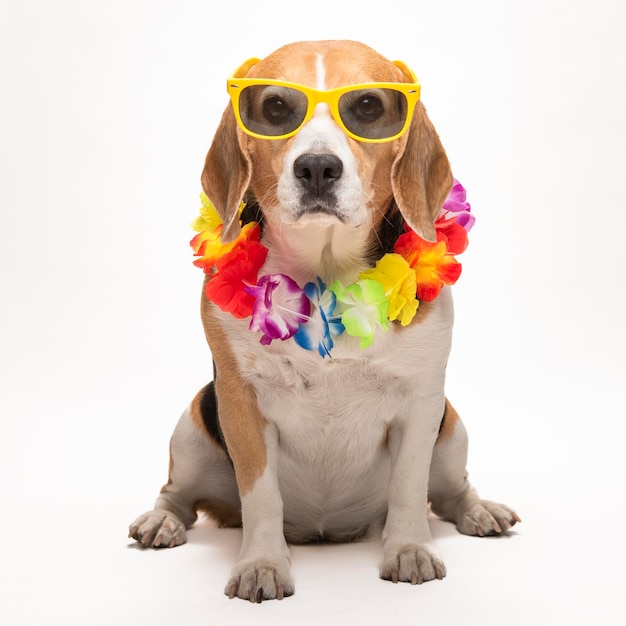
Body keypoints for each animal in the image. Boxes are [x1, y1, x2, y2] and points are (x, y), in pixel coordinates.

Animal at [127, 39, 516, 600]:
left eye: (369, 107)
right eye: (274, 108)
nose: (316, 167)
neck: (325, 273)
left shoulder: (422, 401)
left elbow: (408, 487)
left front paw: (409, 550)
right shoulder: (239, 401)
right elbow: (261, 494)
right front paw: (262, 564)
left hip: (451, 430)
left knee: (448, 493)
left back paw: (480, 510)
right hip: (194, 424)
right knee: (176, 493)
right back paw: (163, 520)